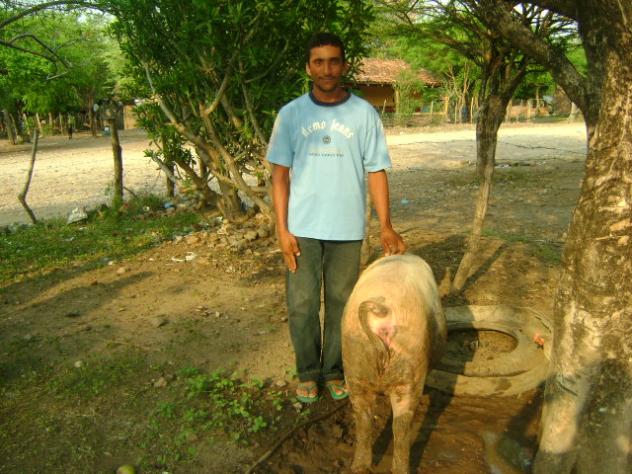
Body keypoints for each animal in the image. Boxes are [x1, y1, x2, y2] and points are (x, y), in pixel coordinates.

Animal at [342, 254, 447, 474]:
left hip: (354, 363)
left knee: (363, 420)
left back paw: (359, 467)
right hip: (408, 365)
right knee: (401, 427)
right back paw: (401, 469)